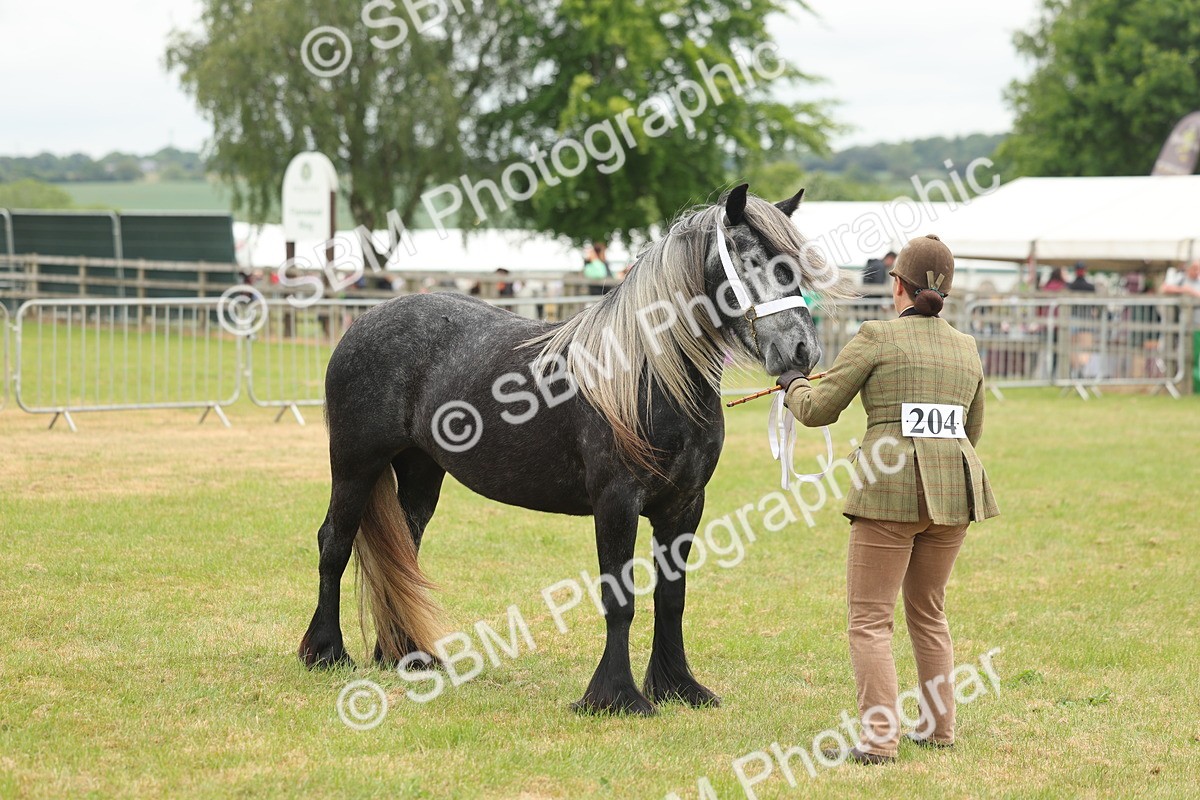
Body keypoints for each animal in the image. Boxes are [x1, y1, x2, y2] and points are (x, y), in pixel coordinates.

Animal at [298, 184, 849, 715]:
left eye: (792, 266)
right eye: (749, 259)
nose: (802, 351)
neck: (646, 375)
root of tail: (365, 322)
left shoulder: (684, 506)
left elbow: (671, 598)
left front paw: (678, 687)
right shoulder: (616, 504)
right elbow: (620, 599)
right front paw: (617, 697)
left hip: (419, 473)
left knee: (403, 554)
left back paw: (406, 655)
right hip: (355, 467)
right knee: (334, 543)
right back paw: (325, 653)